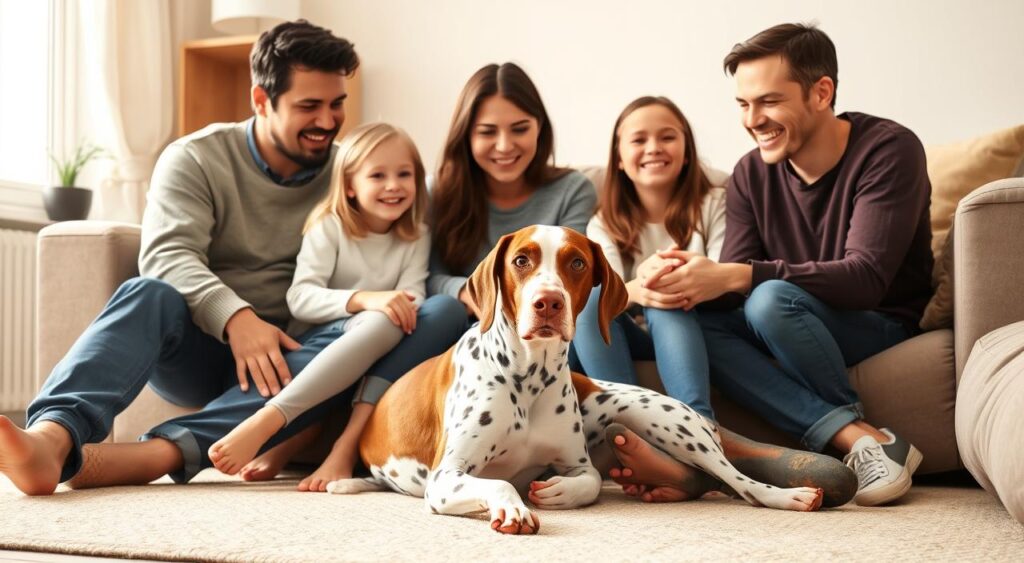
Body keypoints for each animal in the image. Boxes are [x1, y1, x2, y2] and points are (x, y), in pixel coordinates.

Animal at [327, 225, 823, 532]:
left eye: (578, 263)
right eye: (521, 260)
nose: (548, 302)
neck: (527, 377)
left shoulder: (578, 463)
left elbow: (588, 482)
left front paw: (557, 491)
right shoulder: (445, 477)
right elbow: (501, 482)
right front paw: (514, 507)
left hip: (658, 418)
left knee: (735, 480)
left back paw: (787, 496)